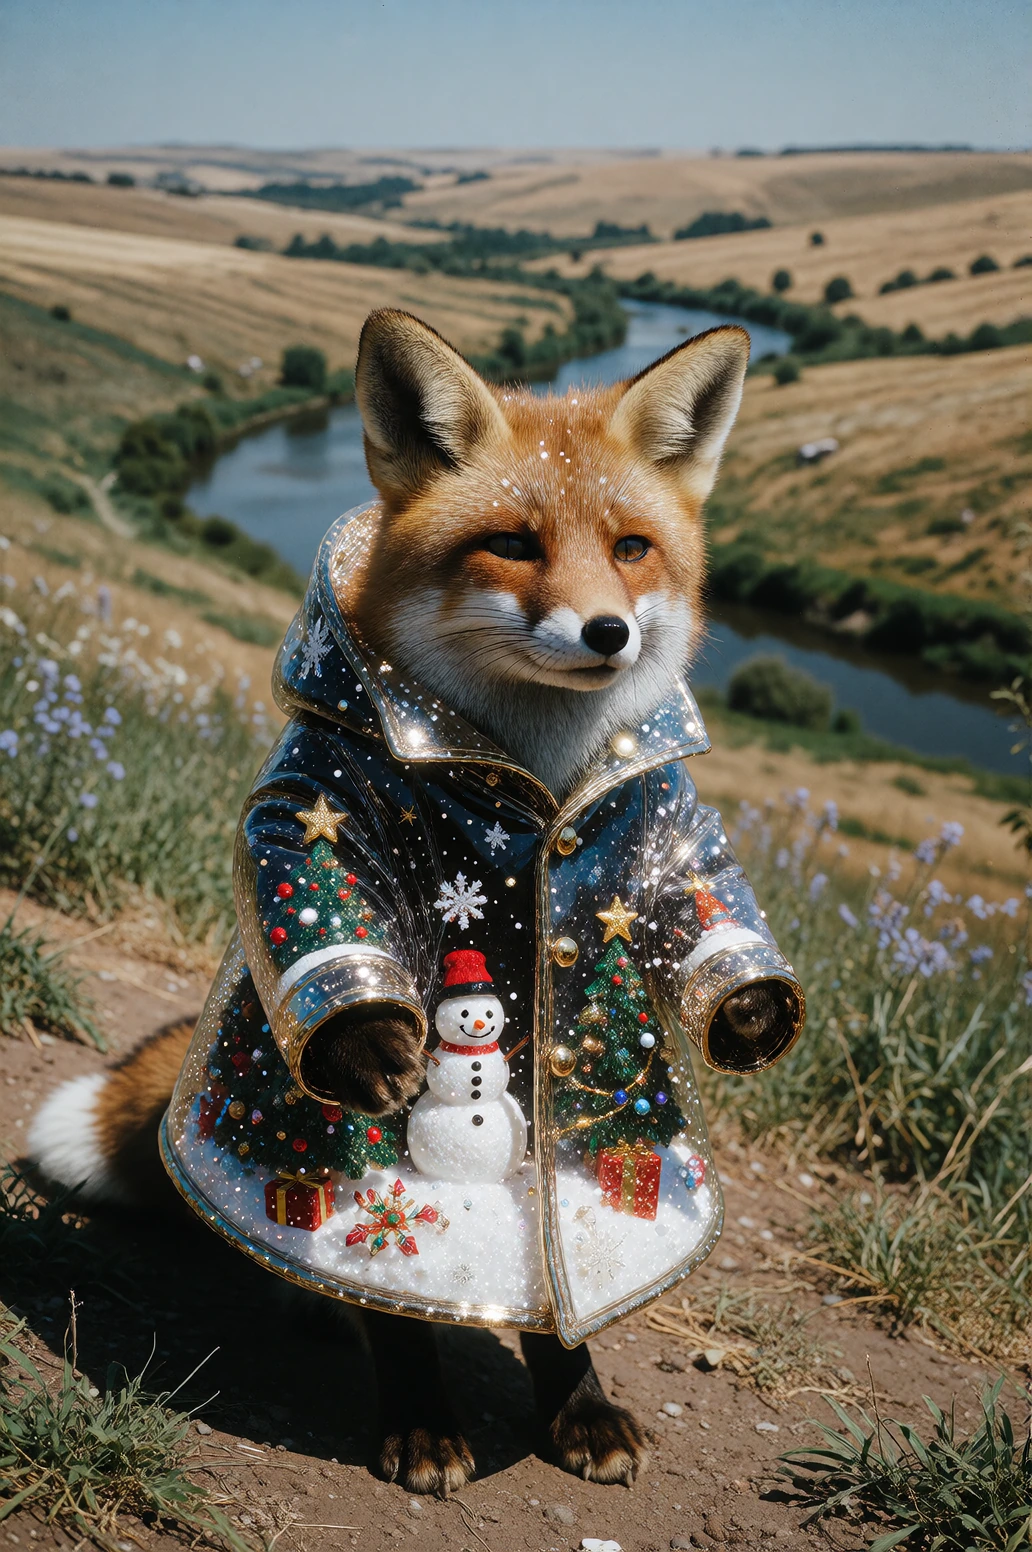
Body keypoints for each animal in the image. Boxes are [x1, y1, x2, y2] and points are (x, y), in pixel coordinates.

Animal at [32, 309, 798, 1499]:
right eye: (515, 544)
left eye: (631, 549)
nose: (609, 633)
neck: (535, 780)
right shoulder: (324, 800)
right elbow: (309, 873)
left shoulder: (657, 812)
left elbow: (697, 893)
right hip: (336, 1149)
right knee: (383, 1274)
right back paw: (403, 1396)